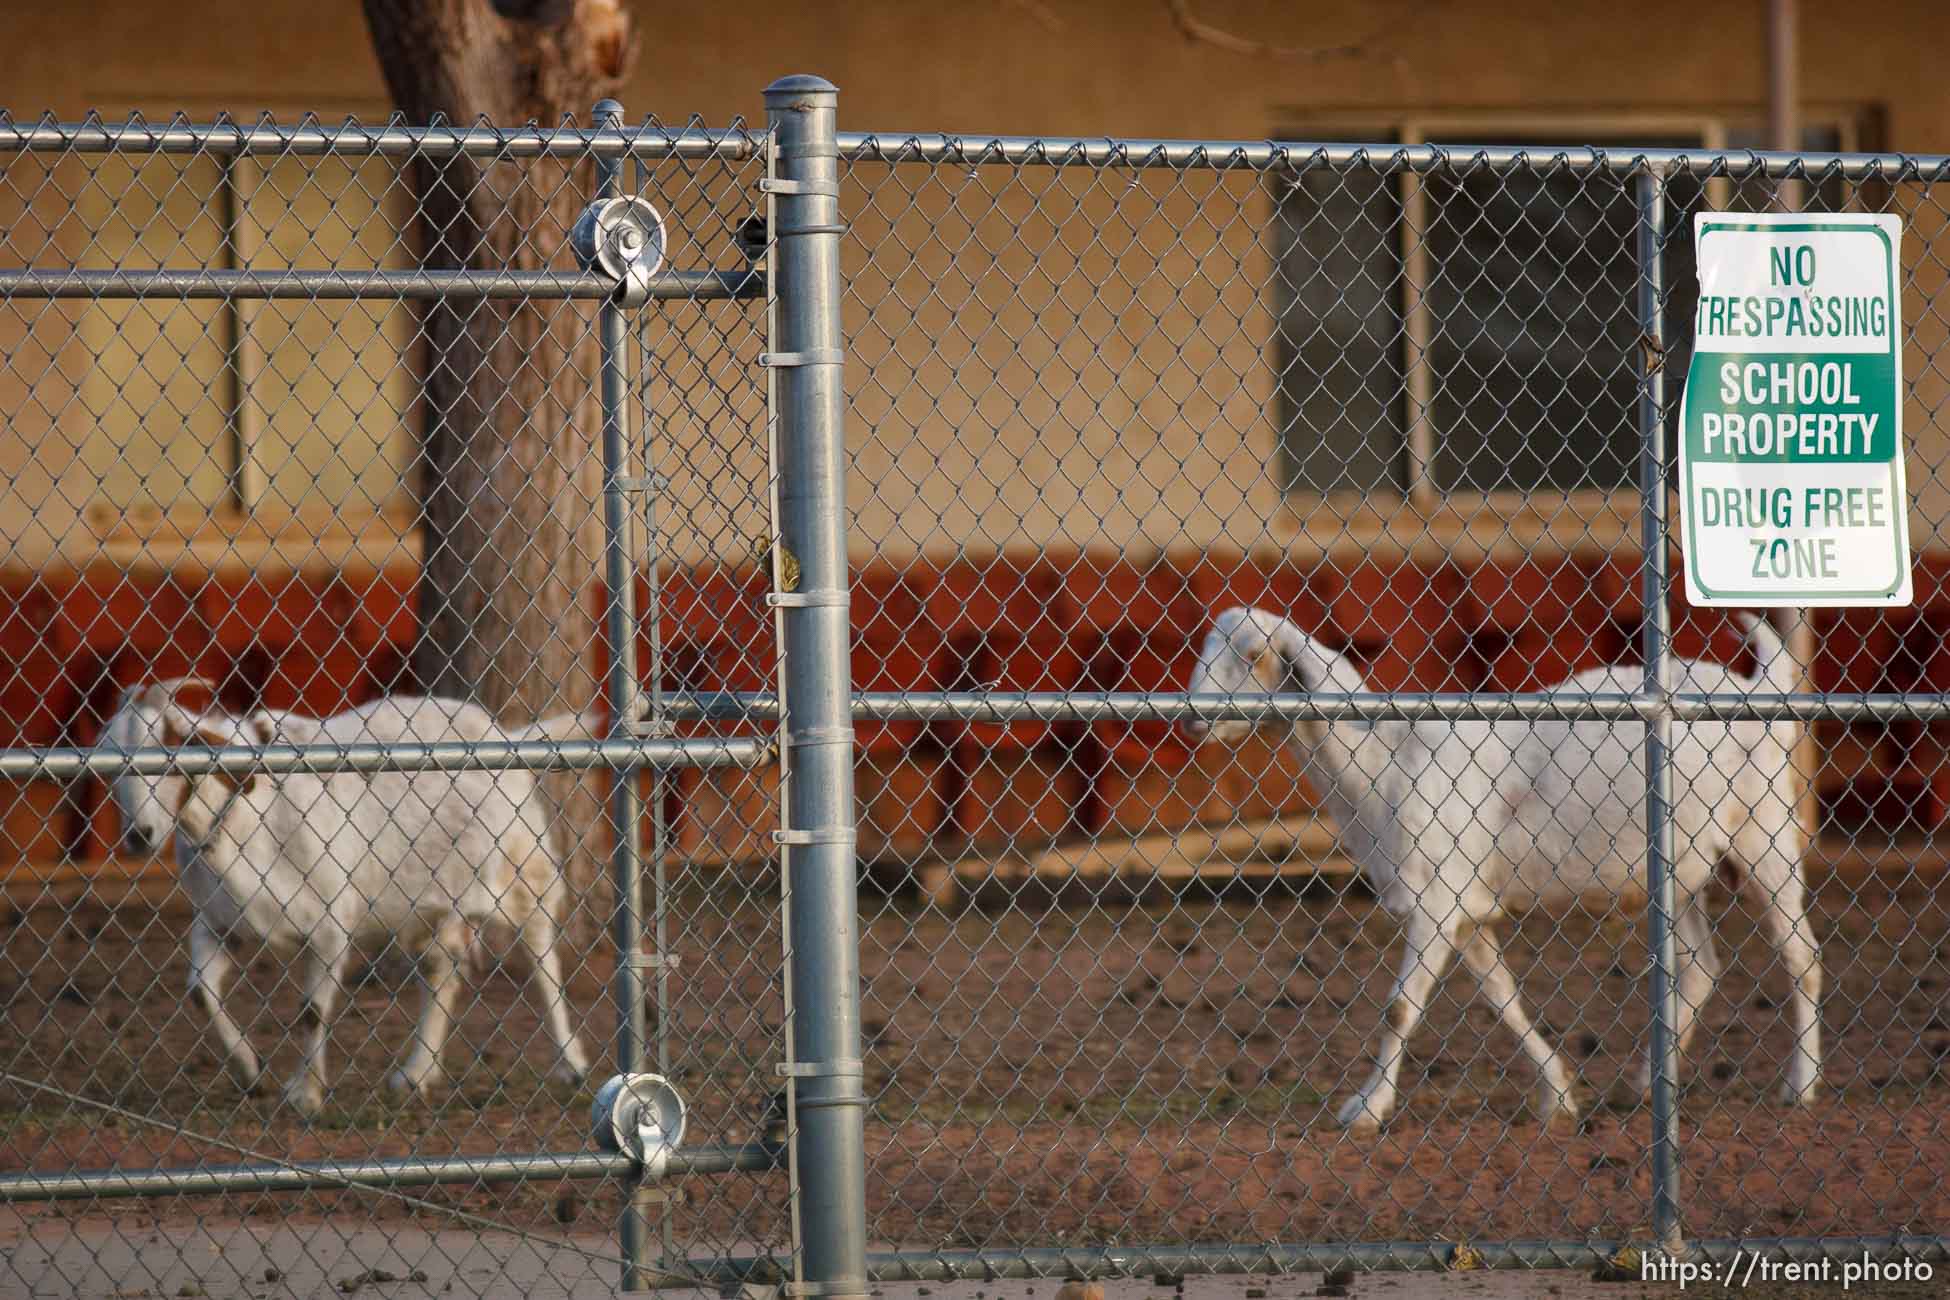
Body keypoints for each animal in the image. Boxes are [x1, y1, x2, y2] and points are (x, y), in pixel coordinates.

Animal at [102, 682, 588, 1122]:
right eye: (110, 763)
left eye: (167, 752)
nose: (139, 835)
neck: (246, 816)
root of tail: (503, 732)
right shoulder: (221, 921)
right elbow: (201, 992)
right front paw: (251, 1072)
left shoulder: (330, 926)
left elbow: (311, 1012)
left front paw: (306, 1094)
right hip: (427, 904)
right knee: (442, 971)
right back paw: (415, 1073)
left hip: (524, 869)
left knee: (543, 959)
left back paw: (572, 1065)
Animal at [1177, 611, 1817, 1130]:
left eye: (1253, 654)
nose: (1191, 720)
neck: (1385, 759)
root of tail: (1758, 688)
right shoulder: (1466, 909)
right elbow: (1502, 1001)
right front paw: (1558, 1096)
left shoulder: (1436, 902)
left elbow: (1400, 1008)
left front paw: (1366, 1109)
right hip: (1680, 871)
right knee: (1700, 969)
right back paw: (1643, 1084)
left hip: (1764, 836)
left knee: (1801, 957)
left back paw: (1801, 1087)